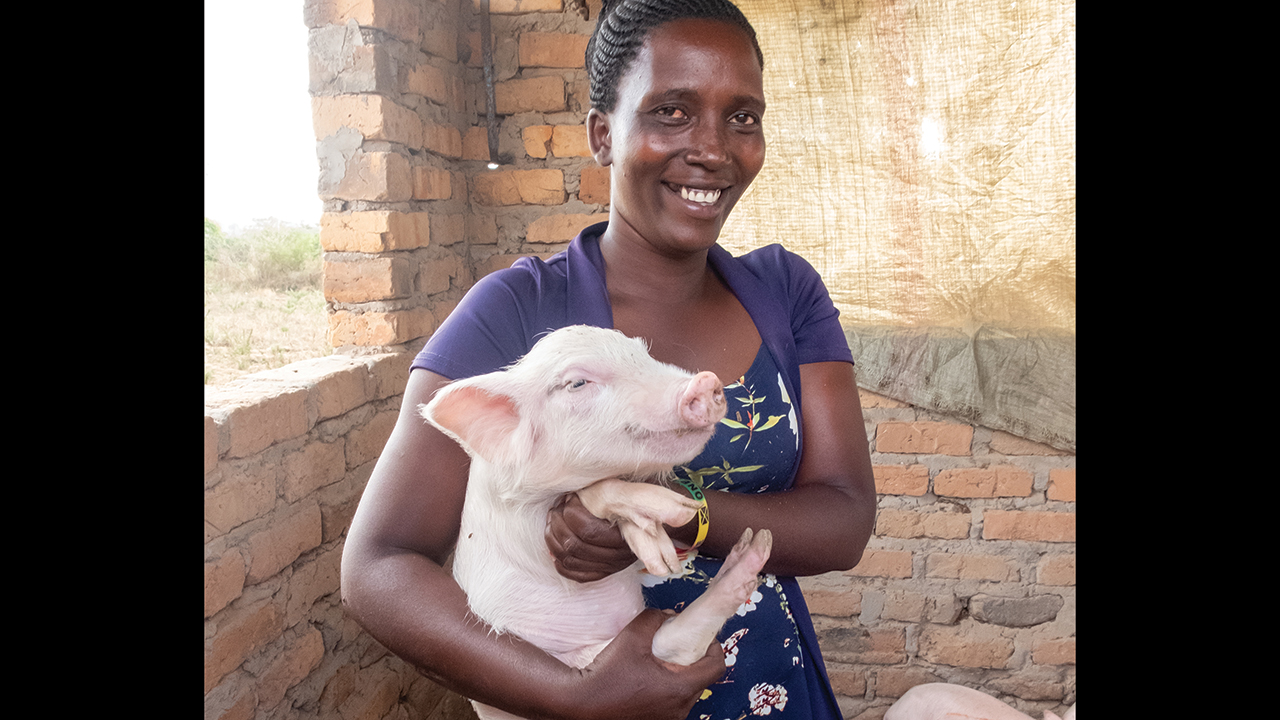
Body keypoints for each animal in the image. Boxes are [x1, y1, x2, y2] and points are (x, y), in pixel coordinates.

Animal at [419, 324, 774, 720]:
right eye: (576, 383)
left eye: (642, 353)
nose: (705, 381)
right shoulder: (522, 517)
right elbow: (593, 490)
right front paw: (669, 529)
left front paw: (659, 545)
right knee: (676, 644)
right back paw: (751, 551)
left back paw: (753, 544)